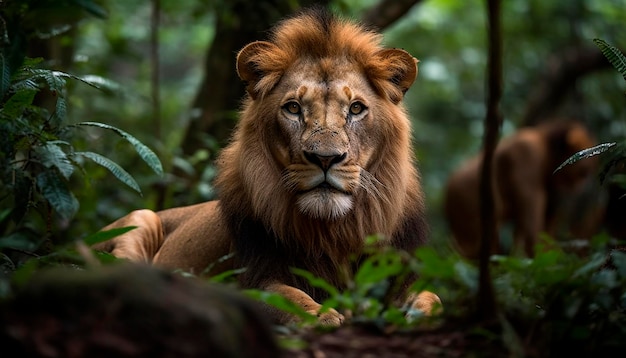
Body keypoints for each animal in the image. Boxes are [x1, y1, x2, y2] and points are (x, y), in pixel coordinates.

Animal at [96, 7, 438, 328]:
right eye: (293, 108)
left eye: (356, 109)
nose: (325, 158)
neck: (332, 231)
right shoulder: (249, 278)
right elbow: (289, 299)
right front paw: (324, 315)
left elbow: (430, 298)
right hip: (141, 219)